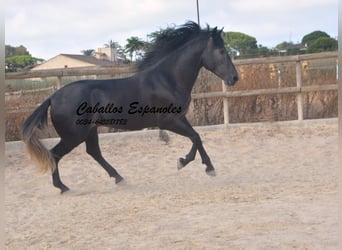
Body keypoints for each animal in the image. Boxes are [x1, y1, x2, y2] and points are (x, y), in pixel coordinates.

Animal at [21, 22, 238, 193]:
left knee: (93, 152)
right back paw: (63, 187)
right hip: (74, 135)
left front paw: (197, 164)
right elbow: (195, 137)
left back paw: (119, 178)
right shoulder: (169, 121)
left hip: (89, 131)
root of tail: (53, 97)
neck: (167, 79)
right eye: (221, 51)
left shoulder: (180, 118)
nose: (235, 78)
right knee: (55, 154)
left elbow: (196, 137)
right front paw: (194, 165)